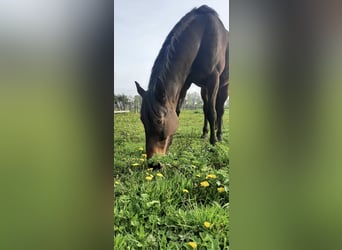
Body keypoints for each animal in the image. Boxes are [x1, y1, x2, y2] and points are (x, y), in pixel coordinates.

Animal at [135, 5, 228, 160]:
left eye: (159, 120)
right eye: (142, 119)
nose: (153, 162)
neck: (203, 36)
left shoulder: (213, 79)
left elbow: (212, 112)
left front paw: (214, 143)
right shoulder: (185, 84)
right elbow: (178, 110)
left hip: (223, 86)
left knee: (219, 110)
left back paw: (219, 135)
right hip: (204, 89)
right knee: (206, 108)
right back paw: (205, 133)